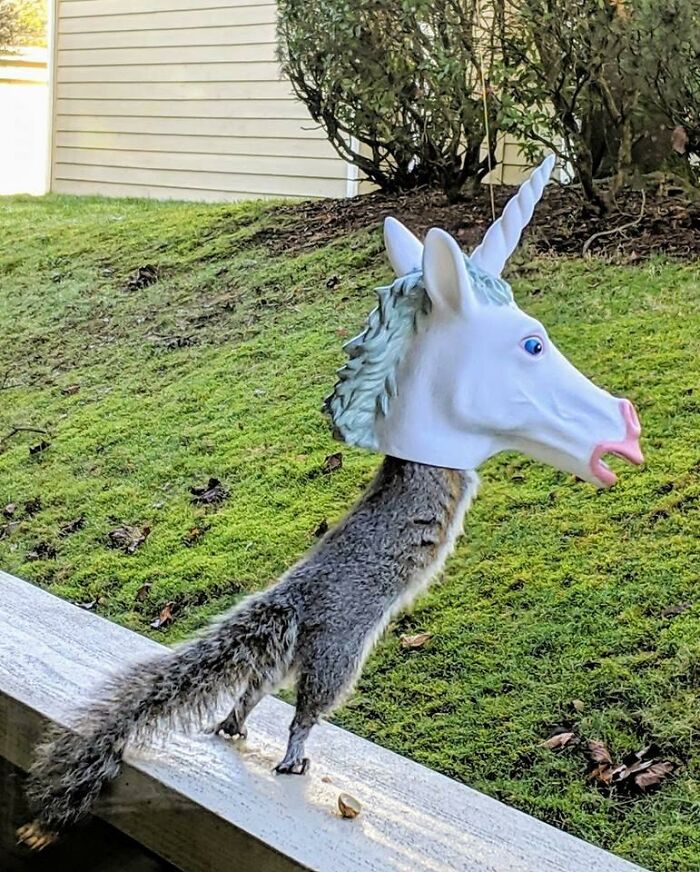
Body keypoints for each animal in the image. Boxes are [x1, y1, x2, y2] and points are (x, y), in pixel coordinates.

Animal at [18, 457, 479, 849]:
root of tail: (296, 598)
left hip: (285, 657)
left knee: (253, 689)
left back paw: (234, 721)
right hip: (337, 652)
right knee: (306, 709)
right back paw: (292, 752)